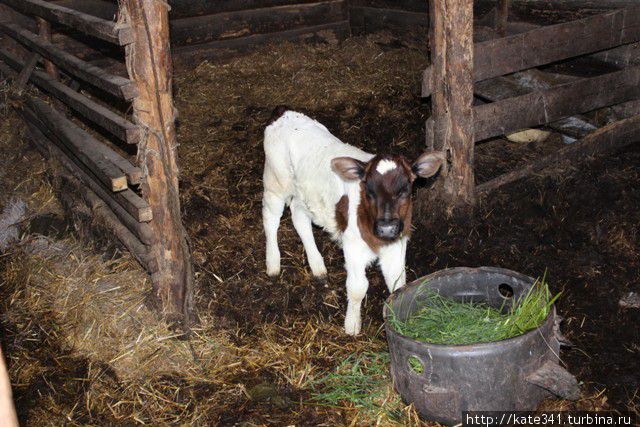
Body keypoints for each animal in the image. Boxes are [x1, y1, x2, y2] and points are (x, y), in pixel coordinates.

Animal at [262, 108, 442, 336]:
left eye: (405, 190)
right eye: (369, 191)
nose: (386, 227)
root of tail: (284, 114)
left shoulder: (398, 243)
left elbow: (398, 283)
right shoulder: (353, 245)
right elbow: (358, 288)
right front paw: (352, 324)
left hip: (306, 194)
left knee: (298, 216)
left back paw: (317, 265)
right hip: (275, 182)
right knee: (271, 218)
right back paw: (273, 262)